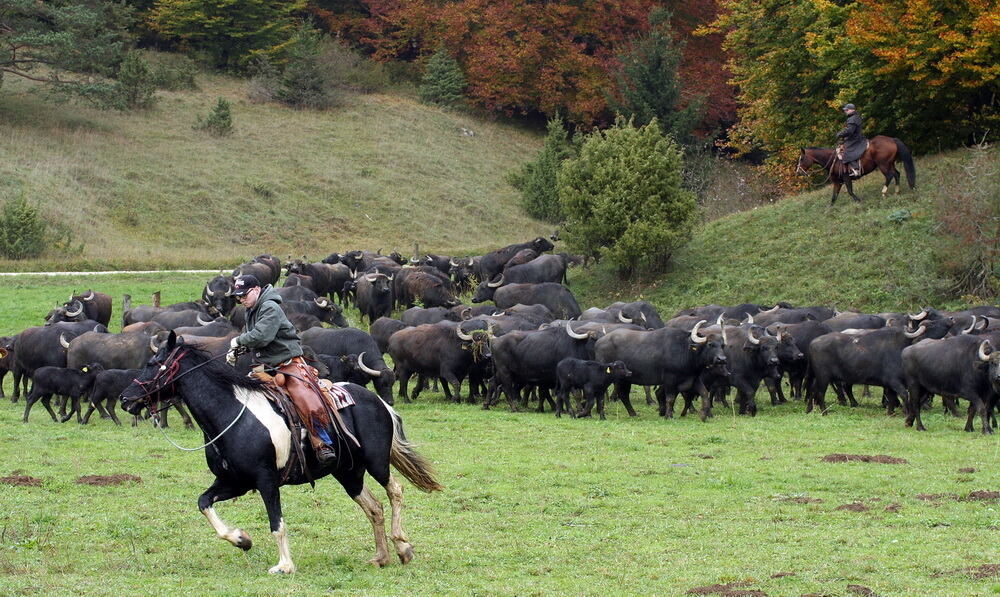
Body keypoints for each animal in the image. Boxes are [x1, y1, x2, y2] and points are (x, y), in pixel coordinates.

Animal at [121, 332, 442, 576]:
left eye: (154, 364)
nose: (125, 398)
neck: (229, 414)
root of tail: (378, 401)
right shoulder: (234, 482)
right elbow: (203, 503)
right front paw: (241, 539)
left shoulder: (266, 481)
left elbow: (277, 523)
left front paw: (285, 565)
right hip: (348, 472)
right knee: (374, 508)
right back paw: (381, 556)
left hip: (376, 463)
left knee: (395, 491)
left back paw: (403, 547)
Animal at [592, 322, 728, 420]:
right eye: (710, 344)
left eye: (722, 345)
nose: (722, 359)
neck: (685, 350)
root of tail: (599, 342)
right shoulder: (669, 379)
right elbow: (670, 398)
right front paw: (668, 415)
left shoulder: (693, 379)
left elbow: (704, 393)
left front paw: (704, 414)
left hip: (626, 378)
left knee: (624, 395)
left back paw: (633, 413)